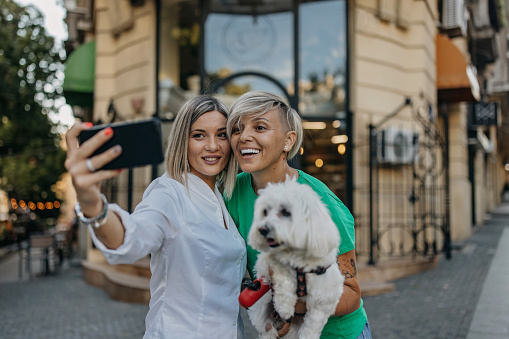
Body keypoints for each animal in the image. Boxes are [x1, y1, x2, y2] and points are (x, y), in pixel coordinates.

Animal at [247, 179, 344, 338]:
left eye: (286, 212)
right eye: (265, 212)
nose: (262, 229)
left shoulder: (325, 298)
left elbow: (314, 323)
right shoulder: (265, 264)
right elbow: (282, 274)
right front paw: (284, 307)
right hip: (260, 310)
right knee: (268, 329)